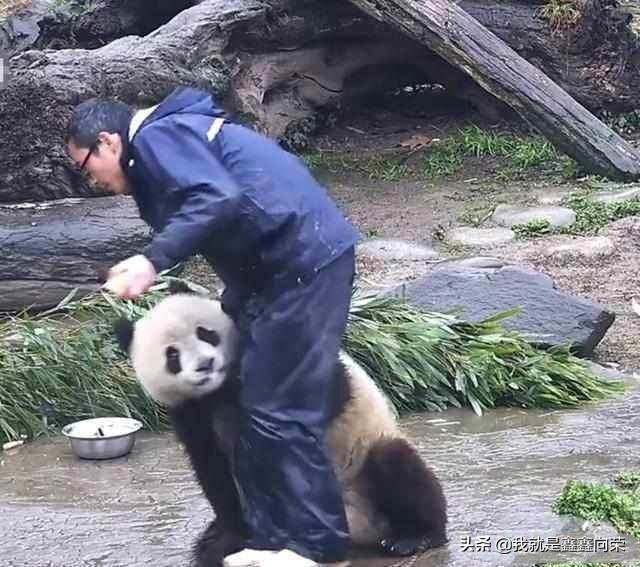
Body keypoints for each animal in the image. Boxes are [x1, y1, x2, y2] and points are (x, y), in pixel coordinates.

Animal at [114, 292, 444, 567]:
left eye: (205, 333)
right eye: (172, 355)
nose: (206, 364)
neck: (219, 390)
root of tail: (362, 531)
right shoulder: (191, 413)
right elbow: (213, 469)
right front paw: (224, 537)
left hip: (366, 462)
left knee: (396, 464)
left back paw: (414, 536)